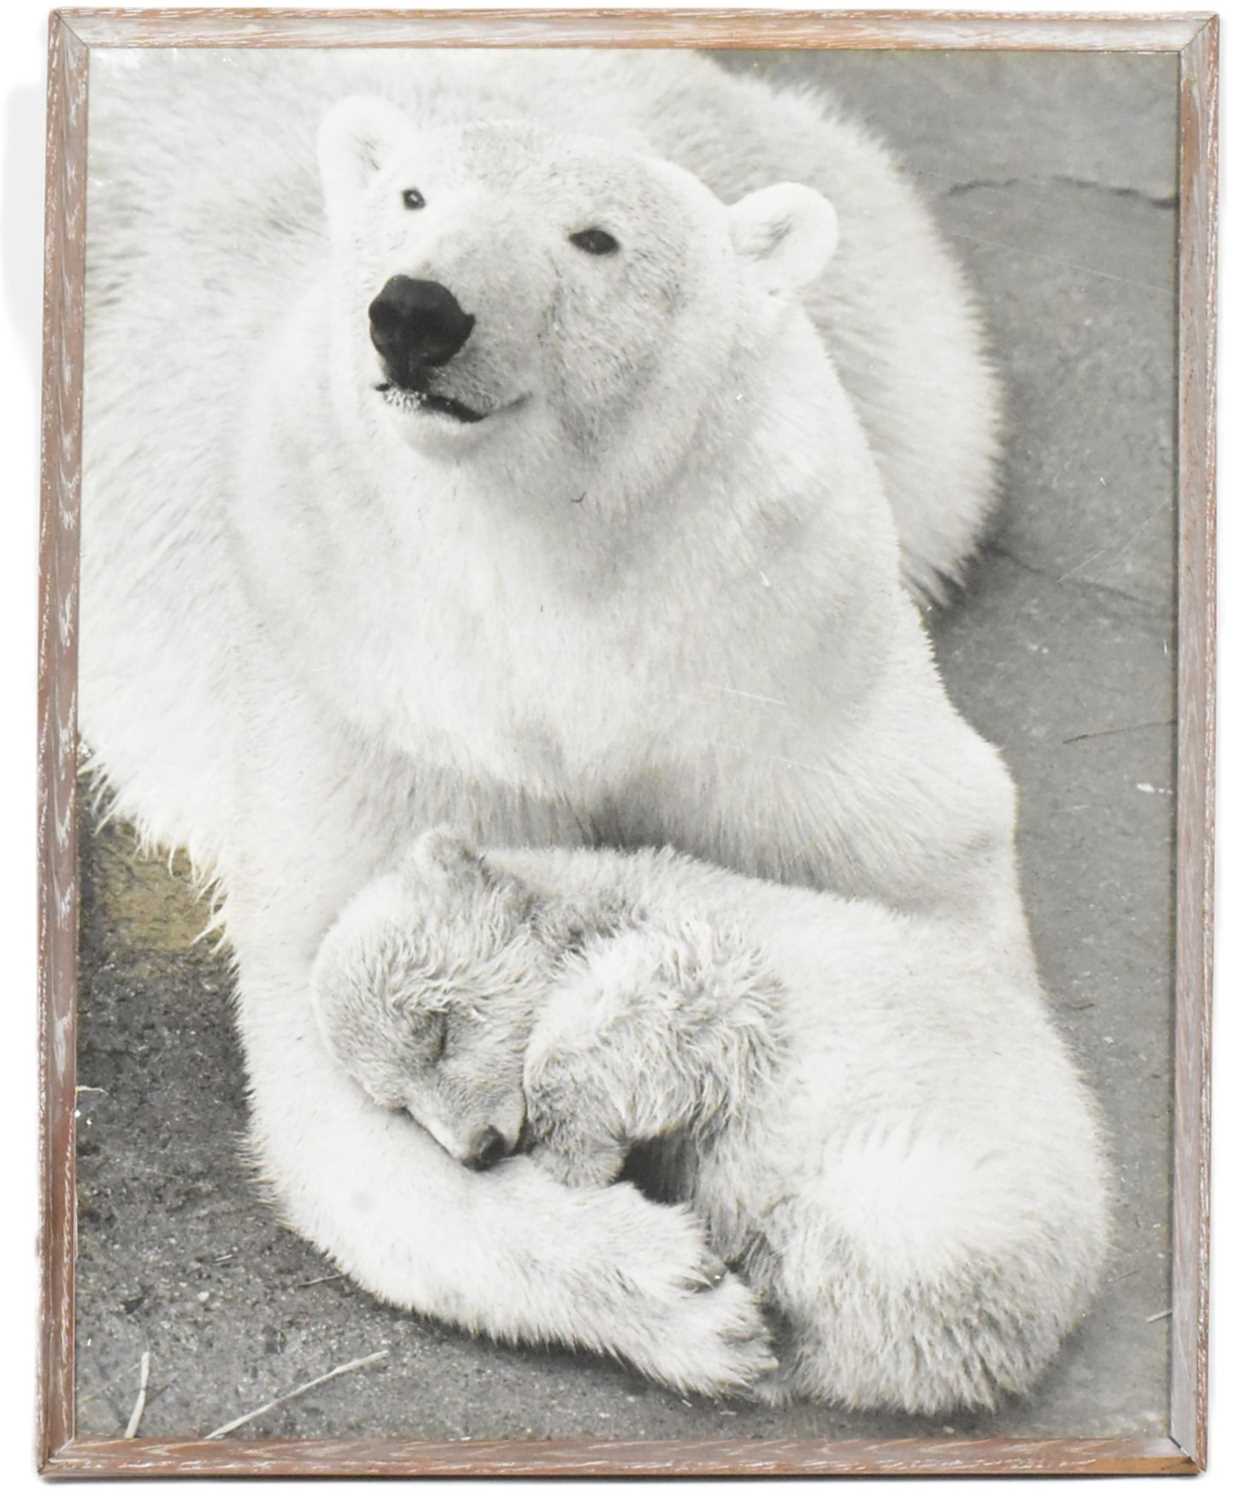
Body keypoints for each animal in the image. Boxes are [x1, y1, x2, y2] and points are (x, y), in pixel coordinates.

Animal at [311, 828, 1109, 1413]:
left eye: (438, 1031)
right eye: (397, 1102)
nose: (477, 1150)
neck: (586, 895)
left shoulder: (707, 948)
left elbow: (669, 993)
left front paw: (569, 1149)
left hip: (949, 1191)